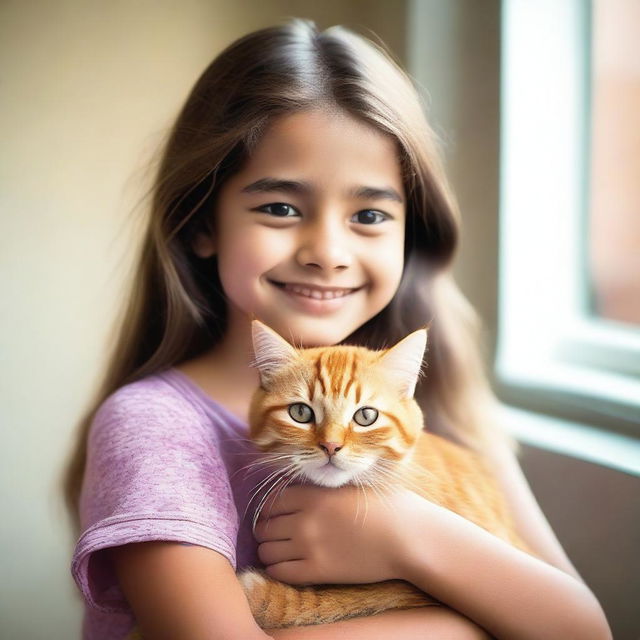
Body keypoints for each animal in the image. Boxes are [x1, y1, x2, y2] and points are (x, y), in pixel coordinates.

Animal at [238, 318, 532, 628]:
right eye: (300, 413)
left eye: (366, 416)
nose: (331, 445)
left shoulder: (412, 590)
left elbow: (348, 598)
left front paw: (265, 597)